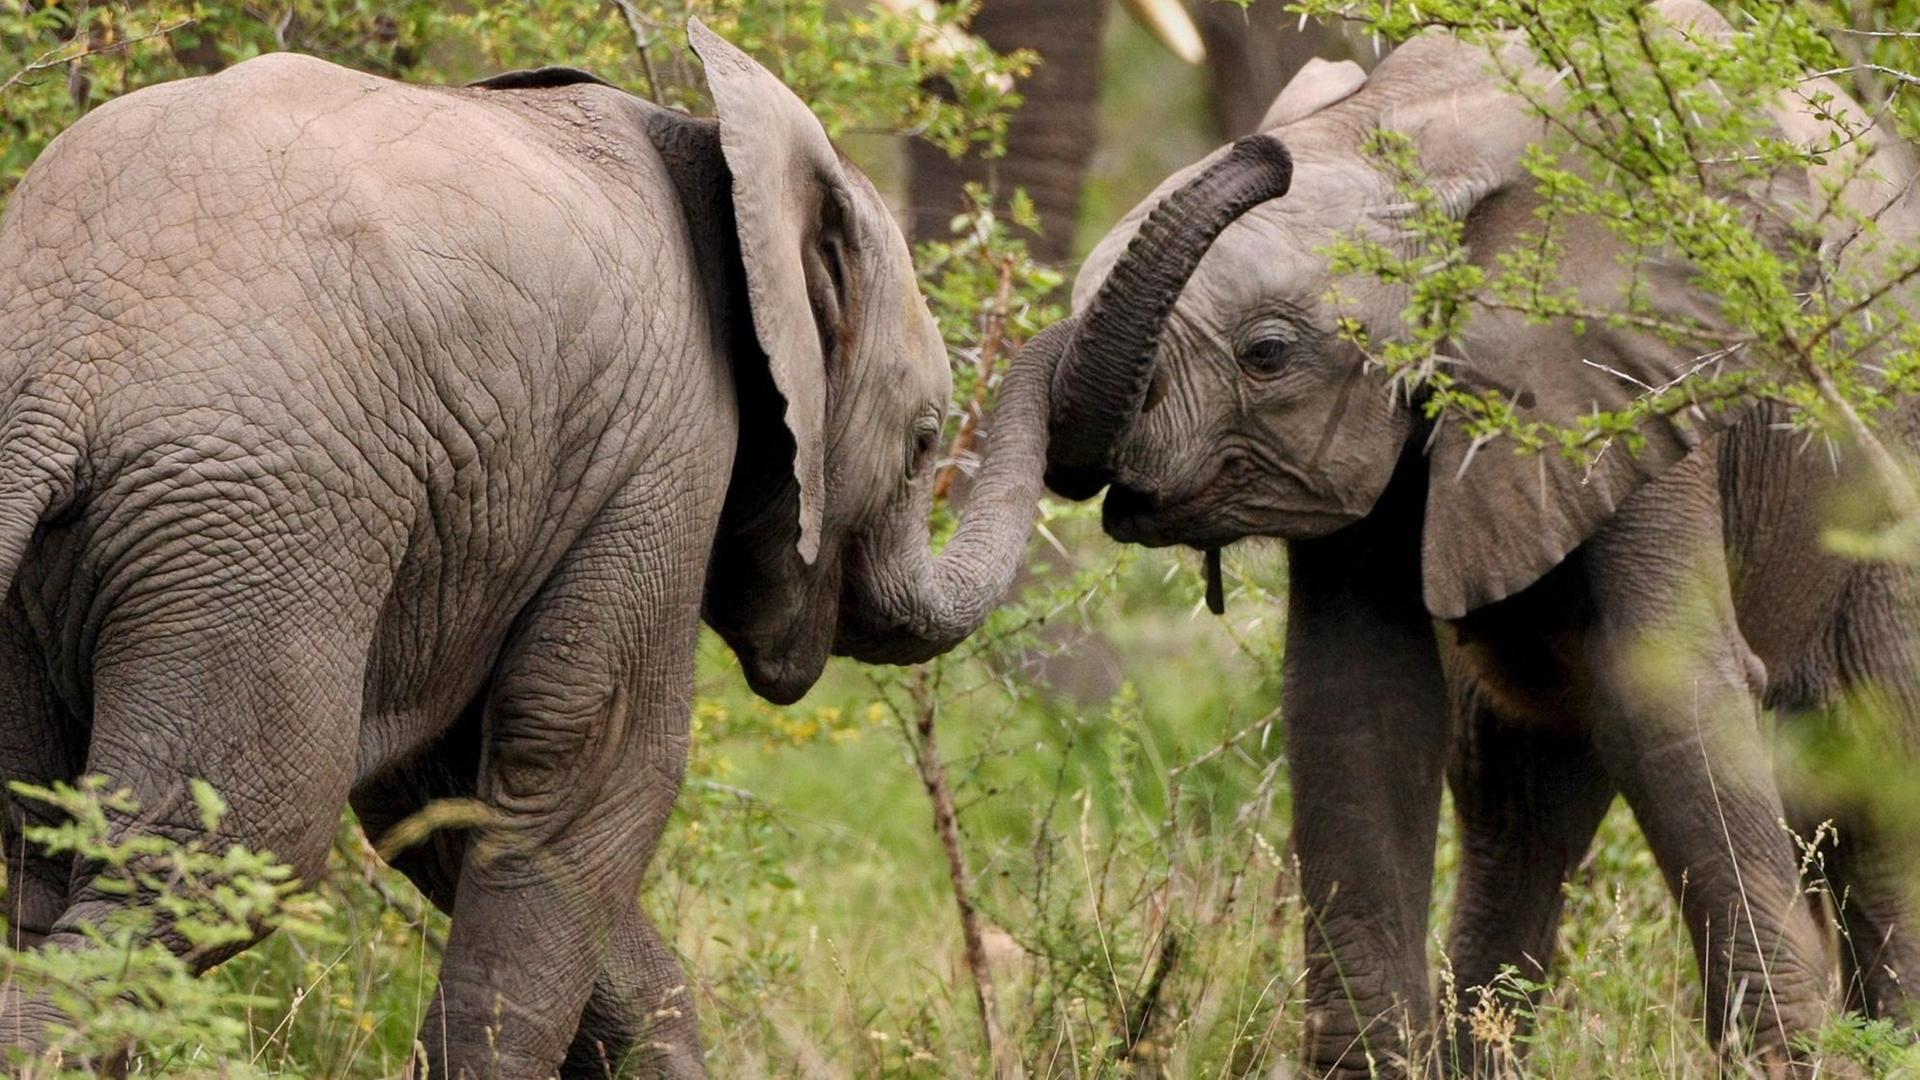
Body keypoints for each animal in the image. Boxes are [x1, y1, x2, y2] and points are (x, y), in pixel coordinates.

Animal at [0, 18, 1059, 1076]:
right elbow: (593, 761)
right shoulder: (663, 446)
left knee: (42, 867)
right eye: (924, 442)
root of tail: (53, 373)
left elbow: (448, 796)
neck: (721, 147)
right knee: (226, 851)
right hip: (262, 523)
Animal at [1036, 4, 1920, 1068]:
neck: (1403, 142)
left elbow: (1667, 687)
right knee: (1517, 792)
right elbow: (1357, 703)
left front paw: (1792, 1061)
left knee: (1871, 762)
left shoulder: (1632, 378)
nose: (1261, 152)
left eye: (1268, 355)